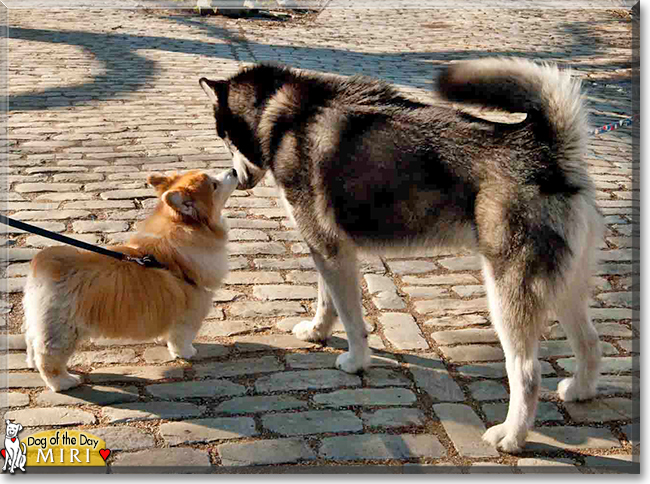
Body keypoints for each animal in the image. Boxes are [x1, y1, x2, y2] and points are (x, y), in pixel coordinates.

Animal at [24, 168, 240, 392]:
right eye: (214, 185)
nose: (233, 170)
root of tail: (43, 265)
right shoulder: (190, 313)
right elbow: (182, 339)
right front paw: (187, 353)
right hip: (63, 331)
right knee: (49, 357)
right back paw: (64, 382)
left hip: (39, 320)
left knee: (32, 342)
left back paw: (32, 364)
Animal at [201, 58, 604, 452]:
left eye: (223, 137)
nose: (235, 176)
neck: (282, 114)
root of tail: (544, 151)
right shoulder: (325, 249)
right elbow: (326, 302)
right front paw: (317, 332)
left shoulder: (331, 250)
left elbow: (351, 319)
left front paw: (356, 361)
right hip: (562, 289)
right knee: (589, 341)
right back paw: (580, 390)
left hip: (507, 294)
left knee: (527, 372)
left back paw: (511, 435)